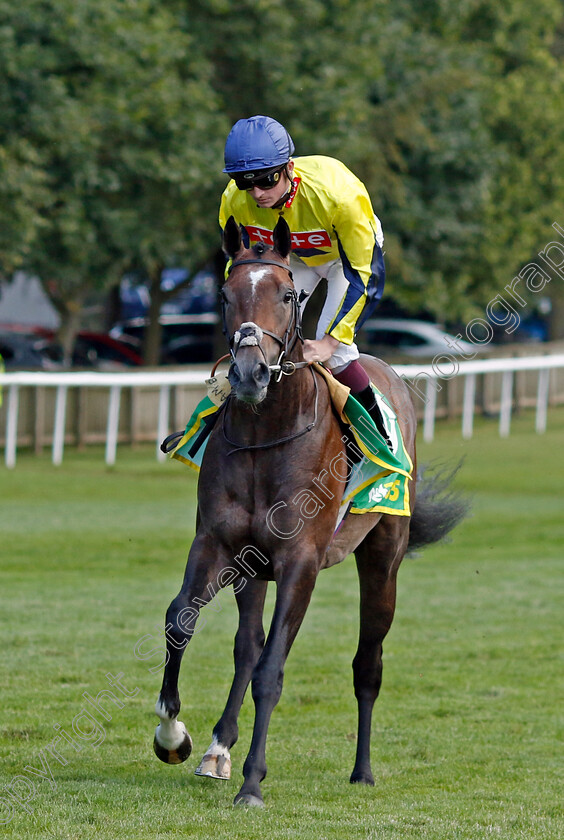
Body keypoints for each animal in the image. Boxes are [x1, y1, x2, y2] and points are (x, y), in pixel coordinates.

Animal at [152, 215, 464, 808]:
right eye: (224, 295)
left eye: (288, 294)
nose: (249, 374)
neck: (266, 435)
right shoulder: (219, 544)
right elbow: (182, 621)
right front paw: (174, 736)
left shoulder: (300, 561)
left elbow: (273, 670)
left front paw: (253, 782)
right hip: (253, 570)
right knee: (245, 647)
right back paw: (218, 749)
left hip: (382, 559)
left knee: (368, 663)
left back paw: (362, 770)